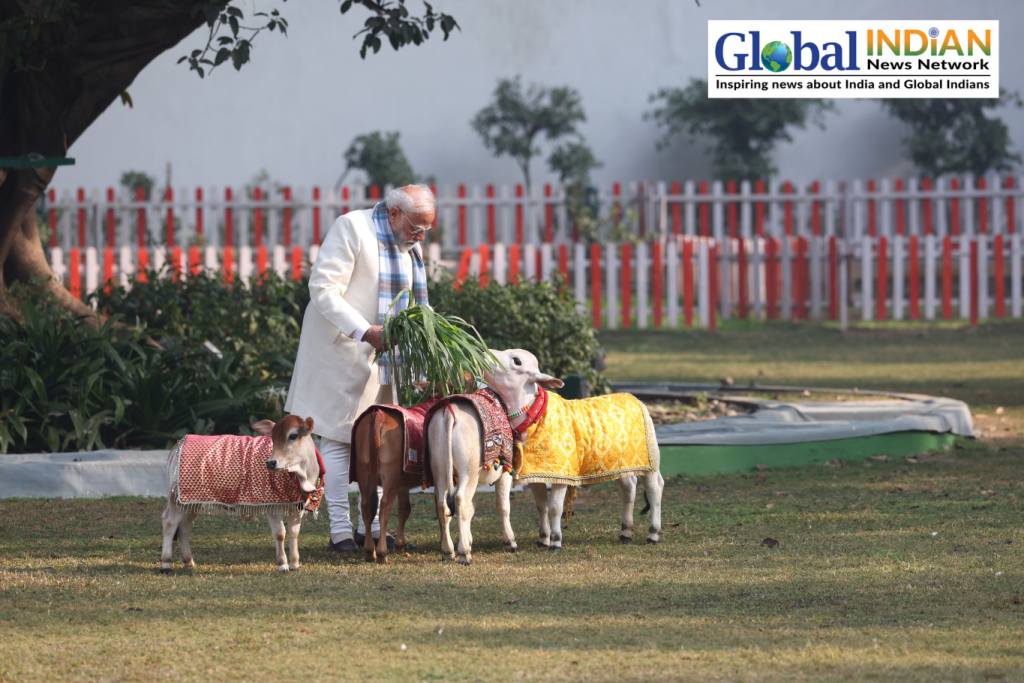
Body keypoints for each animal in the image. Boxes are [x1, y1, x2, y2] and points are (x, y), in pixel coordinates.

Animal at [160, 416, 323, 574]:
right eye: (273, 437)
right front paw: (283, 565)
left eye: (293, 435)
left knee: (184, 527)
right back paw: (165, 563)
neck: (303, 476)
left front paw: (295, 564)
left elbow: (294, 533)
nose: (271, 463)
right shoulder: (272, 506)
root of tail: (178, 445)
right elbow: (280, 533)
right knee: (169, 522)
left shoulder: (297, 506)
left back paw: (189, 562)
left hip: (190, 501)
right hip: (176, 500)